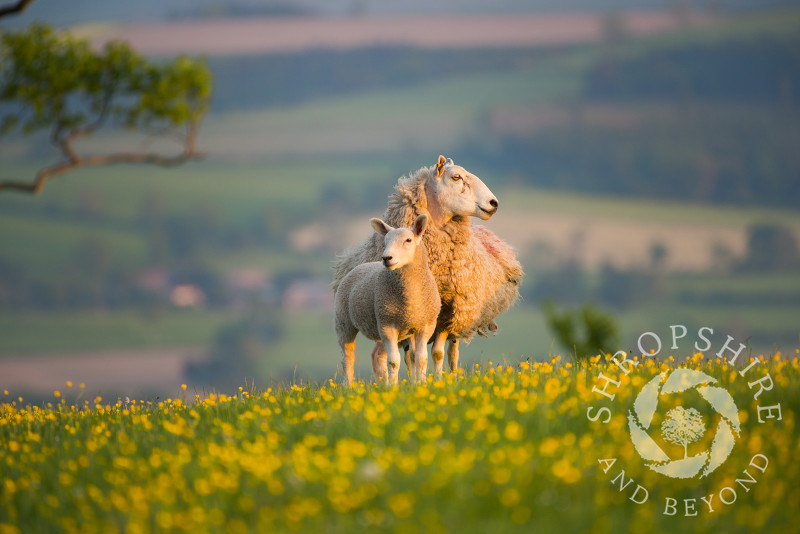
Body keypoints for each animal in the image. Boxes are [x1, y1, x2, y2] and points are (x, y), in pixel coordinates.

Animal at [332, 216, 440, 388]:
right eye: (386, 240)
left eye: (408, 240)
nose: (386, 258)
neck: (411, 296)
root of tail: (361, 265)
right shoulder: (386, 325)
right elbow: (393, 362)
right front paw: (393, 388)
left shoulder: (426, 325)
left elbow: (421, 359)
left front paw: (421, 384)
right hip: (343, 322)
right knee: (347, 358)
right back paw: (349, 387)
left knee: (407, 356)